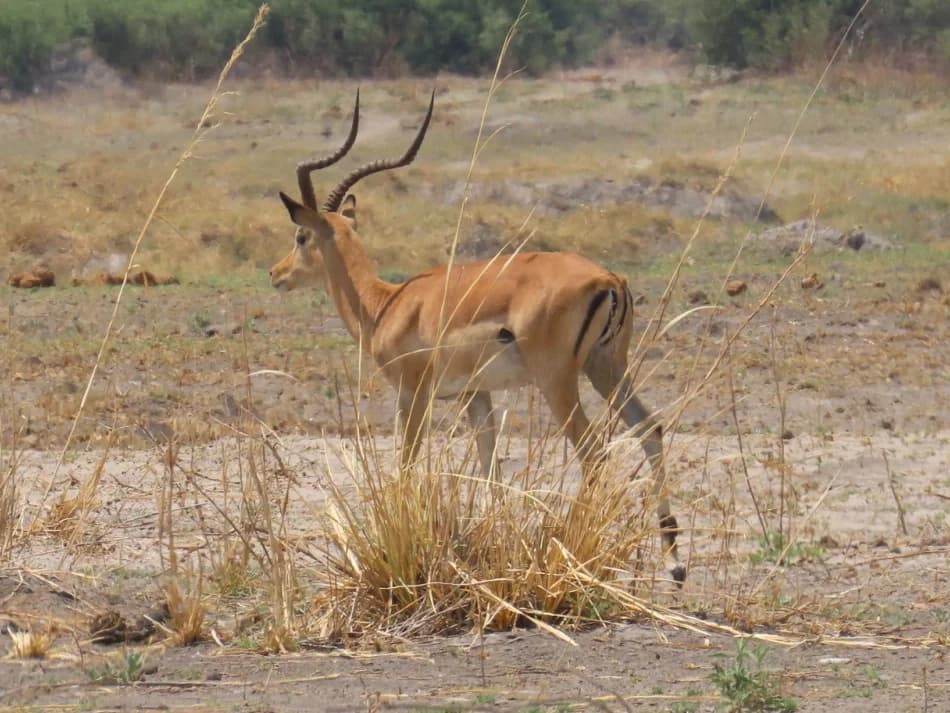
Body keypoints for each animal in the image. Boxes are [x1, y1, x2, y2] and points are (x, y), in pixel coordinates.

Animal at [270, 91, 685, 582]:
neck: (386, 305)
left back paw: (571, 548)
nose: (275, 273)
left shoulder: (413, 393)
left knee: (595, 451)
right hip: (606, 366)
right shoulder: (476, 396)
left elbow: (406, 464)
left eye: (300, 235)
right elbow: (490, 471)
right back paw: (674, 562)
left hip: (557, 379)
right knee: (649, 427)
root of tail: (608, 279)